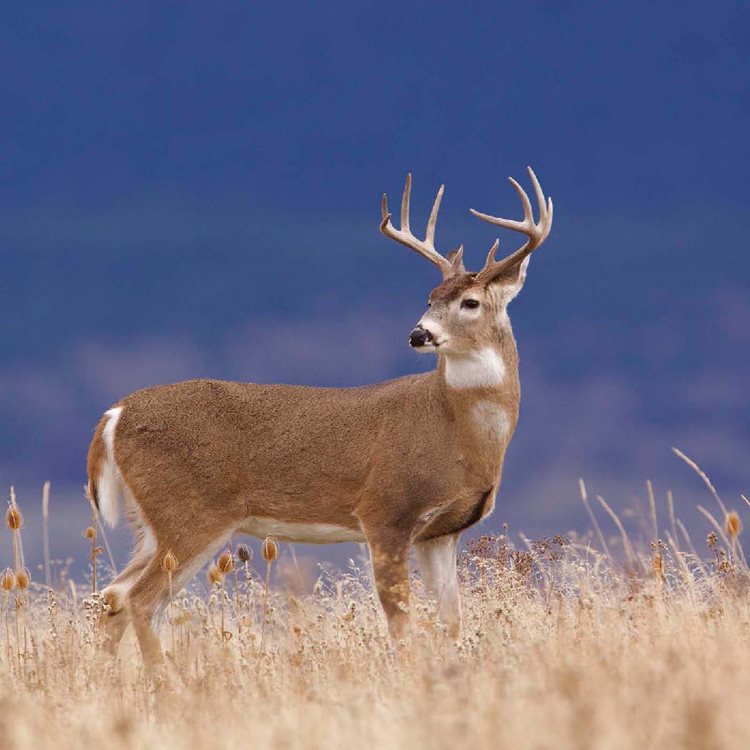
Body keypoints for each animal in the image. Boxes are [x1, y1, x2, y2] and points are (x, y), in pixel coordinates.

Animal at [88, 166, 556, 664]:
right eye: (430, 297)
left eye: (470, 302)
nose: (418, 334)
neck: (457, 432)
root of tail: (115, 414)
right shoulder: (385, 510)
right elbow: (401, 620)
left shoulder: (442, 532)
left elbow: (450, 622)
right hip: (190, 512)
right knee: (140, 599)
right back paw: (165, 677)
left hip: (151, 523)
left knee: (113, 597)